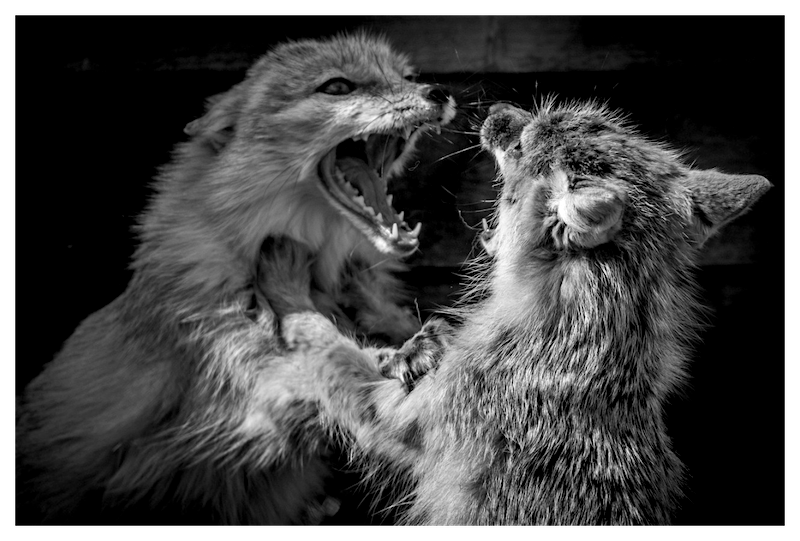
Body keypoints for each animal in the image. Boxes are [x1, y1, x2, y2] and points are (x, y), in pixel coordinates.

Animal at [15, 32, 455, 525]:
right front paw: (394, 354)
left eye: (406, 76)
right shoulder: (245, 385)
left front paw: (402, 340)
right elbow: (323, 365)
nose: (438, 91)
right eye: (338, 87)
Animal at [258, 99, 771, 526]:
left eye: (521, 145)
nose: (496, 110)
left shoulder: (390, 417)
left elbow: (323, 340)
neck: (578, 341)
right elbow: (392, 322)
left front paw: (287, 282)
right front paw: (390, 316)